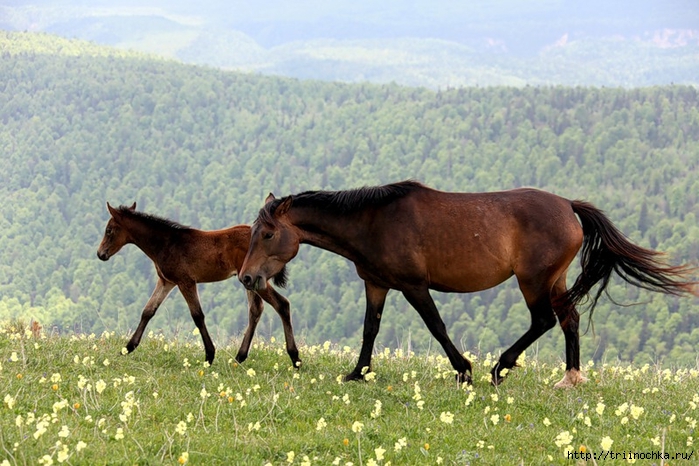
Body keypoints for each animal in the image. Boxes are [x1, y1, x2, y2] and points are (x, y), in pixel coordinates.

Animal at [96, 203, 300, 368]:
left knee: (281, 304)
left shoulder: (186, 281)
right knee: (256, 310)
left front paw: (209, 355)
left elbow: (197, 315)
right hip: (250, 281)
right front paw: (128, 348)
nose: (100, 254)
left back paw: (295, 358)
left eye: (109, 230)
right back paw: (239, 357)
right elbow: (148, 311)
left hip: (256, 280)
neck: (167, 243)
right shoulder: (166, 281)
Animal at [238, 180, 696, 388]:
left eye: (267, 234)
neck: (373, 222)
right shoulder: (376, 285)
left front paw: (464, 370)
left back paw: (500, 367)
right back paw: (570, 378)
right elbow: (371, 329)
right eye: (252, 233)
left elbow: (436, 327)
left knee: (545, 321)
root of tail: (569, 207)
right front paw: (358, 372)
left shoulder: (414, 286)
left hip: (533, 280)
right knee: (569, 319)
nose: (247, 277)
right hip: (555, 278)